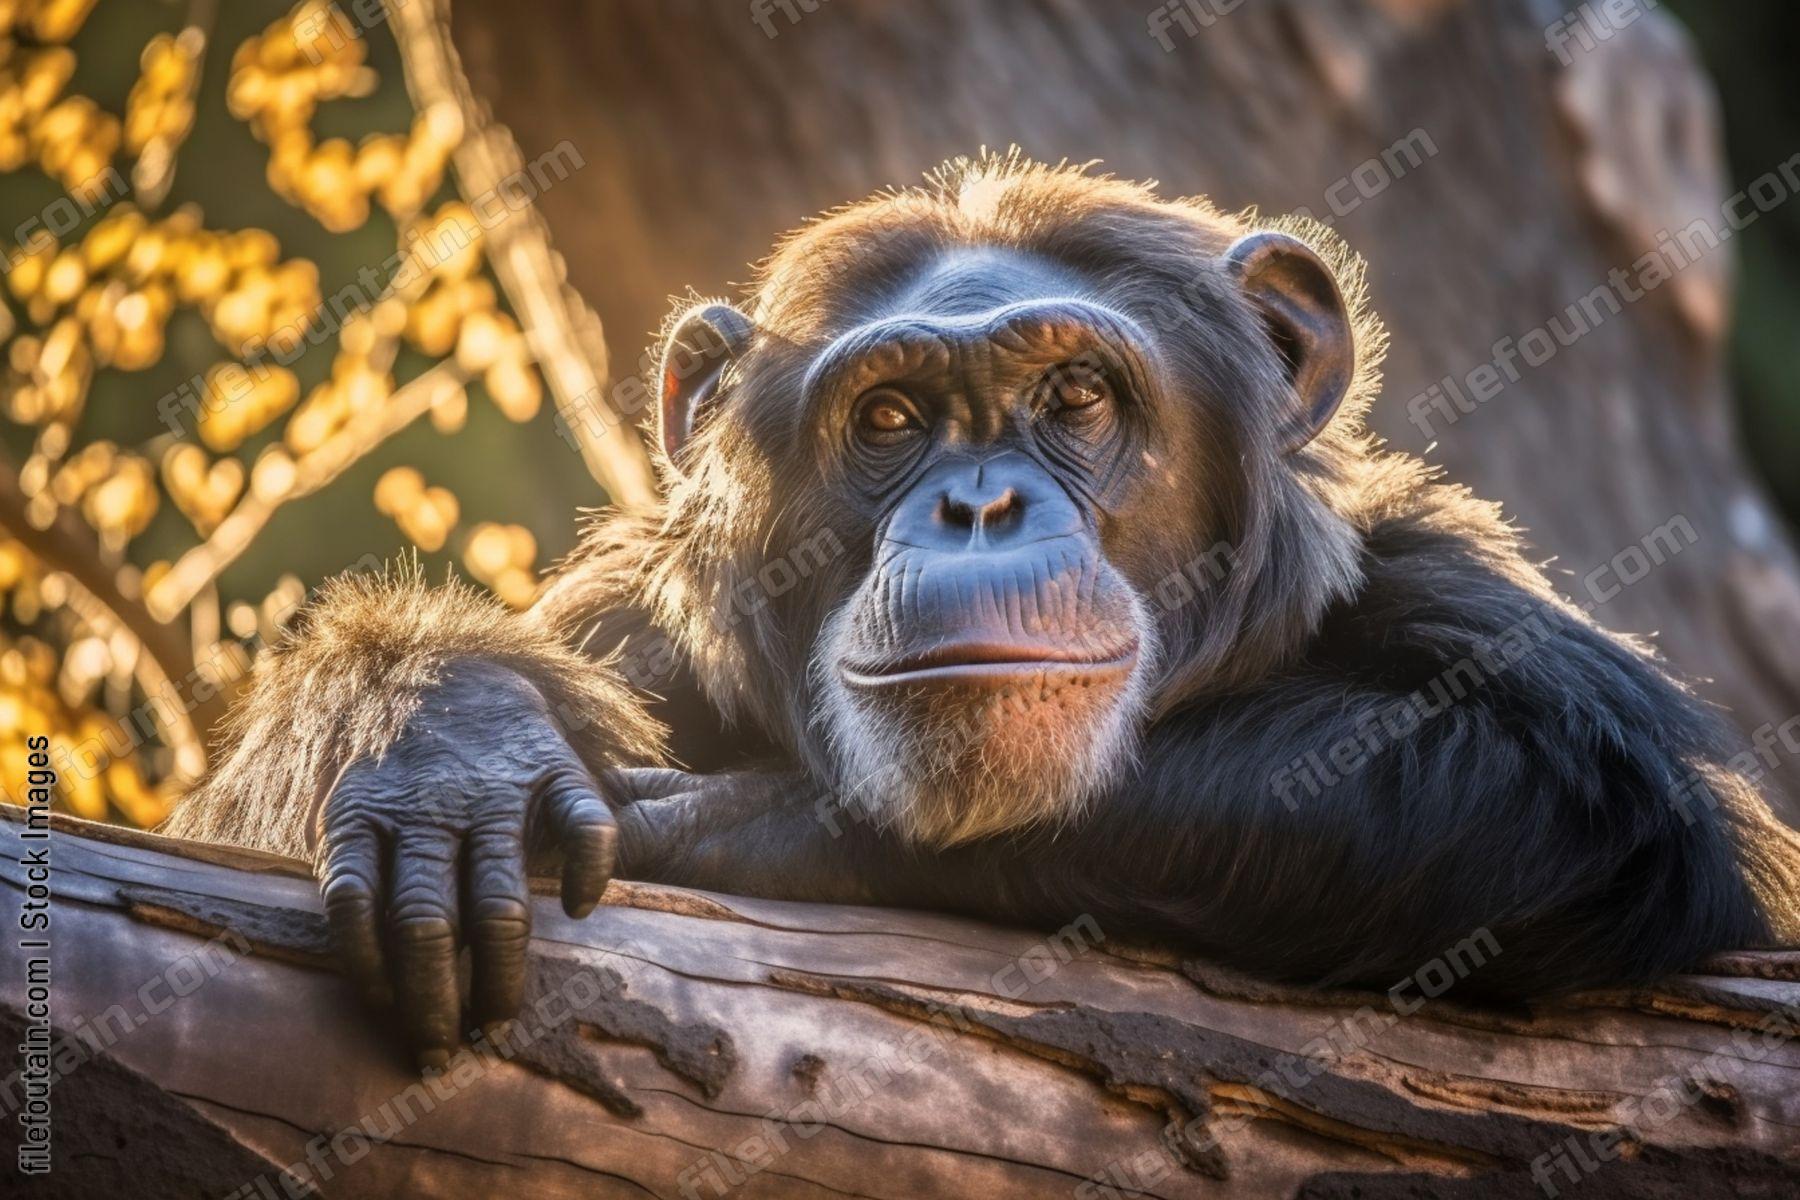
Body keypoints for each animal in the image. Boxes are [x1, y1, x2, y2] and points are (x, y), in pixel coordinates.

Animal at [166, 156, 1800, 1068]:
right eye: (892, 418)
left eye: (1074, 396)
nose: (981, 506)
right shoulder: (624, 624)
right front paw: (448, 743)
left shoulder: (1450, 590)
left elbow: (1591, 787)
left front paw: (745, 821)